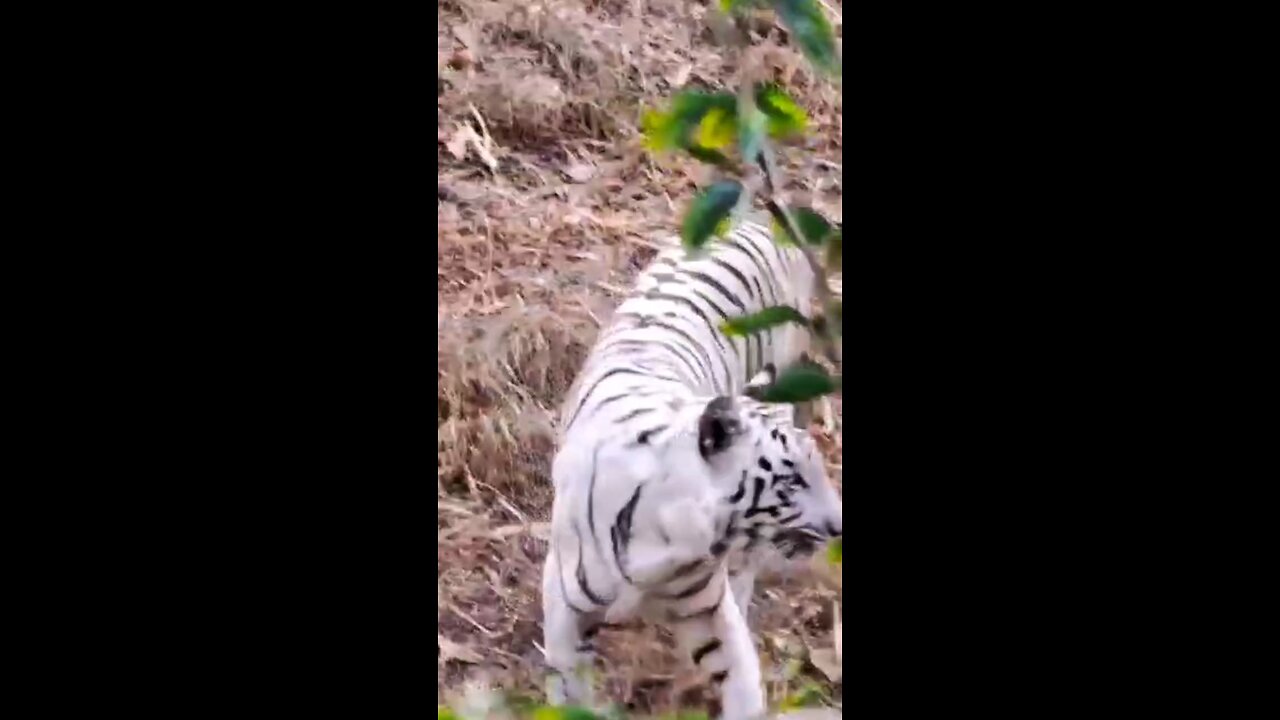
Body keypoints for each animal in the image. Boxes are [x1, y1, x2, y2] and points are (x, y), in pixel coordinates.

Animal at [537, 219, 839, 717]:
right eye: (793, 480)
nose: (839, 526)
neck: (672, 541)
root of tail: (757, 217)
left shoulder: (705, 608)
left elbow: (741, 678)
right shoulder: (565, 607)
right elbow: (570, 688)